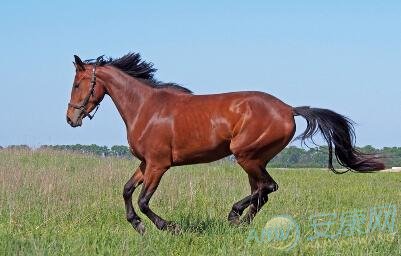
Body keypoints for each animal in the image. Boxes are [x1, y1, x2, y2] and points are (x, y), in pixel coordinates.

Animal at [65, 52, 384, 234]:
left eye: (77, 84)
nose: (71, 118)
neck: (146, 108)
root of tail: (288, 109)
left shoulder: (158, 165)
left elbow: (143, 200)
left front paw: (169, 227)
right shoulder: (145, 164)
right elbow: (127, 190)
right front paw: (138, 226)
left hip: (246, 156)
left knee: (267, 188)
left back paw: (234, 216)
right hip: (254, 160)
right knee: (262, 192)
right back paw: (241, 225)